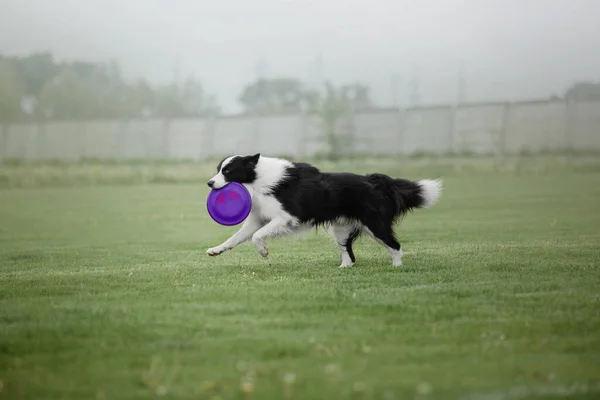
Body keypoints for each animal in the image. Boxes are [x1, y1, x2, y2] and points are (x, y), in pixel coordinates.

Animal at [206, 155, 440, 268]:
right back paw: (343, 268)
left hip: (375, 224)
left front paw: (263, 252)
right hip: (342, 228)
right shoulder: (258, 219)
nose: (209, 183)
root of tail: (375, 180)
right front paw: (216, 250)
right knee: (349, 254)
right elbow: (236, 237)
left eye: (228, 171)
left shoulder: (286, 218)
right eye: (218, 169)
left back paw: (397, 267)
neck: (258, 177)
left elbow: (256, 236)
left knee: (395, 245)